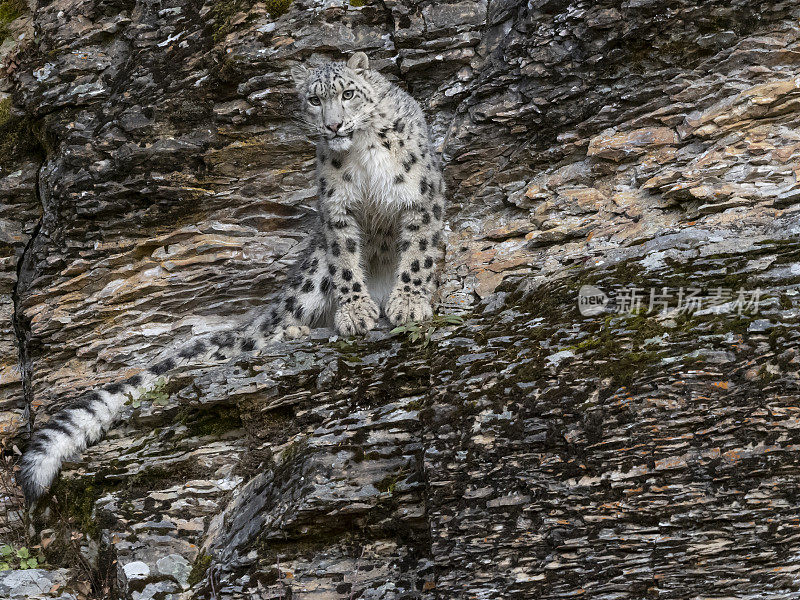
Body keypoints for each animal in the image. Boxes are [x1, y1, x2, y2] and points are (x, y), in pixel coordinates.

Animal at [18, 51, 446, 502]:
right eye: (315, 99)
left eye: (348, 93)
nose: (333, 125)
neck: (362, 156)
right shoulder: (338, 210)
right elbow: (346, 263)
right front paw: (356, 313)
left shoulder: (420, 196)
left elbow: (419, 253)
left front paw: (409, 304)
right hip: (312, 276)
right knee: (264, 331)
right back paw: (296, 332)